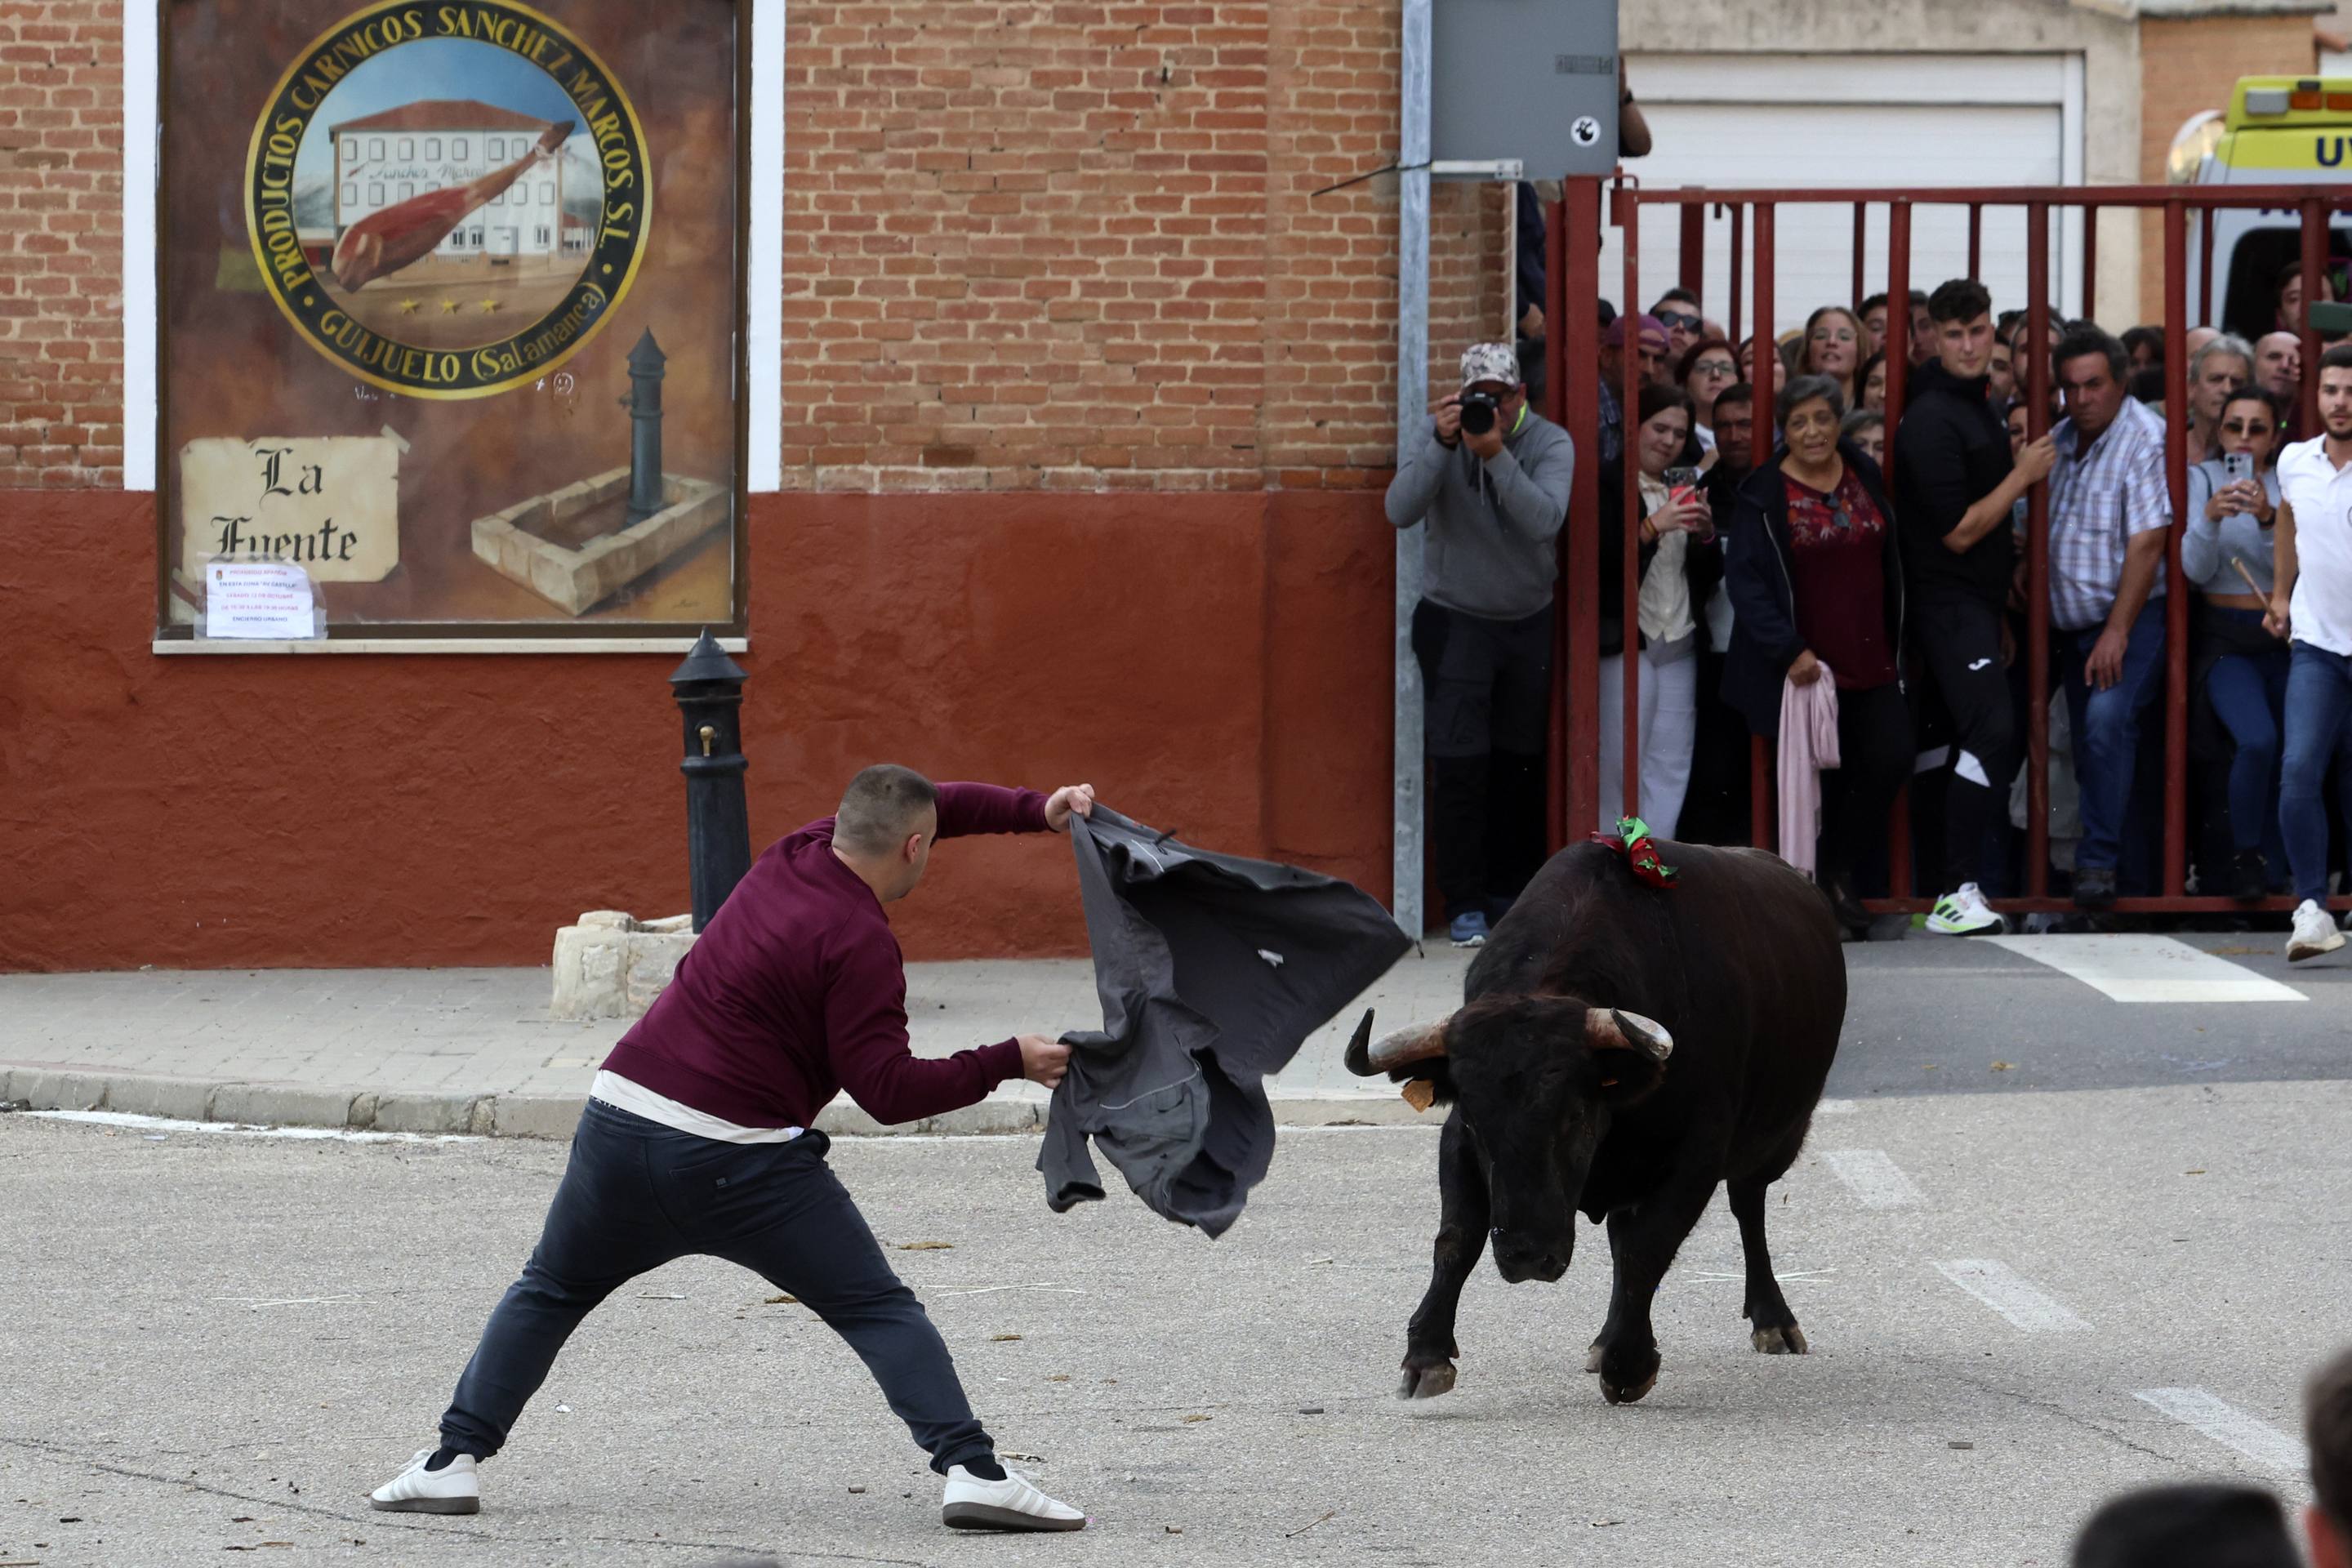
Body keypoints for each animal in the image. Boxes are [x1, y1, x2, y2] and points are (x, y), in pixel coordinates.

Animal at [1354, 846, 1843, 1410]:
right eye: (1476, 1120)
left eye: (1575, 1114)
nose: (1527, 1256)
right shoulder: (1456, 1145)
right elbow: (1456, 1239)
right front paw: (1426, 1356)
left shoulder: (1696, 1156)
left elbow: (1648, 1248)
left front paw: (1629, 1365)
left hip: (1775, 1141)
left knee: (1747, 1206)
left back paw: (1773, 1321)